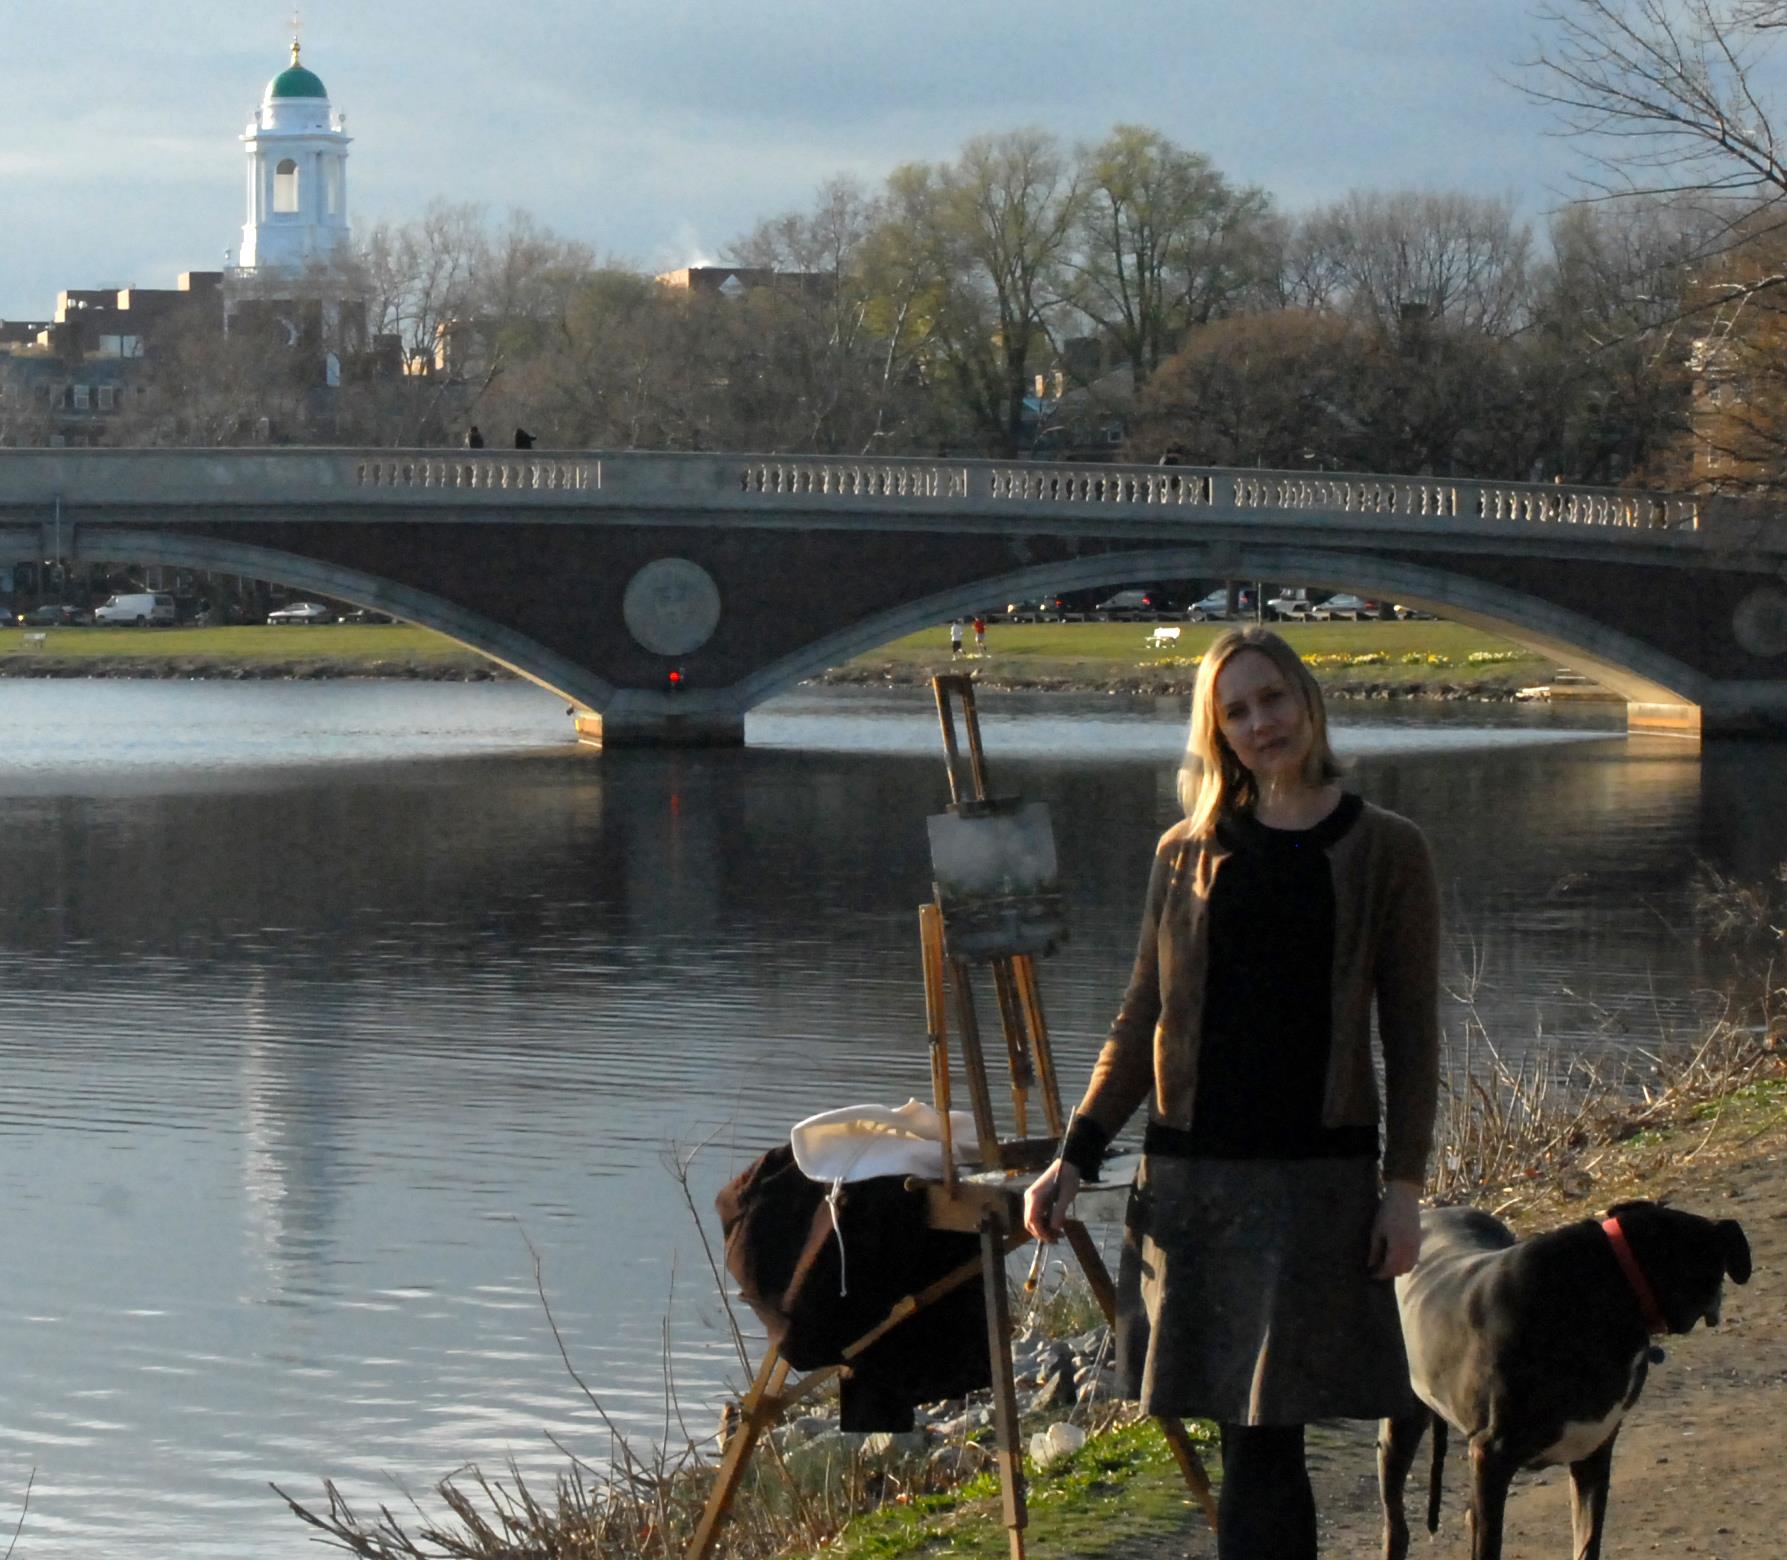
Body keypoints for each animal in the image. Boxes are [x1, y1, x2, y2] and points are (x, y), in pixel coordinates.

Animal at [1379, 1200, 1744, 1551]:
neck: (1613, 1285)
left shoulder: (1592, 1455)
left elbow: (1587, 1541)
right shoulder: (1490, 1457)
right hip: (1400, 1430)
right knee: (1397, 1526)